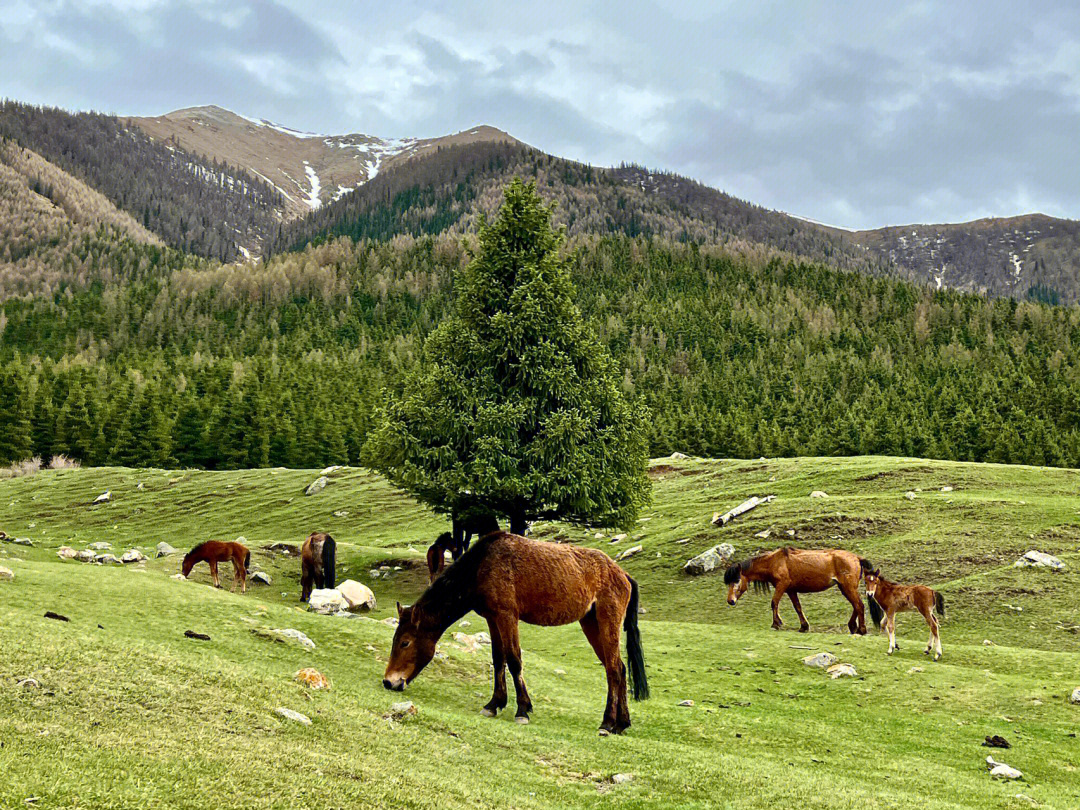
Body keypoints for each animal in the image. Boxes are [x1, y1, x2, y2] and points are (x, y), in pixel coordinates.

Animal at [384, 529, 643, 738]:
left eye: (405, 642)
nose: (389, 682)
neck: (481, 567)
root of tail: (623, 574)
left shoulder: (507, 616)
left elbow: (514, 659)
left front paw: (522, 710)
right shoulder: (492, 618)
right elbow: (498, 659)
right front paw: (494, 704)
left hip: (607, 621)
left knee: (613, 669)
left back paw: (607, 723)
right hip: (590, 623)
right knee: (619, 668)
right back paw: (622, 723)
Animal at [721, 548, 872, 639]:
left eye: (737, 580)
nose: (730, 600)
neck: (774, 562)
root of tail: (857, 558)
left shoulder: (782, 585)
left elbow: (774, 602)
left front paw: (776, 624)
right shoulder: (791, 590)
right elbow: (797, 607)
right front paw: (804, 626)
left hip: (848, 587)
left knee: (859, 605)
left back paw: (861, 630)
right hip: (845, 587)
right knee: (856, 605)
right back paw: (853, 626)